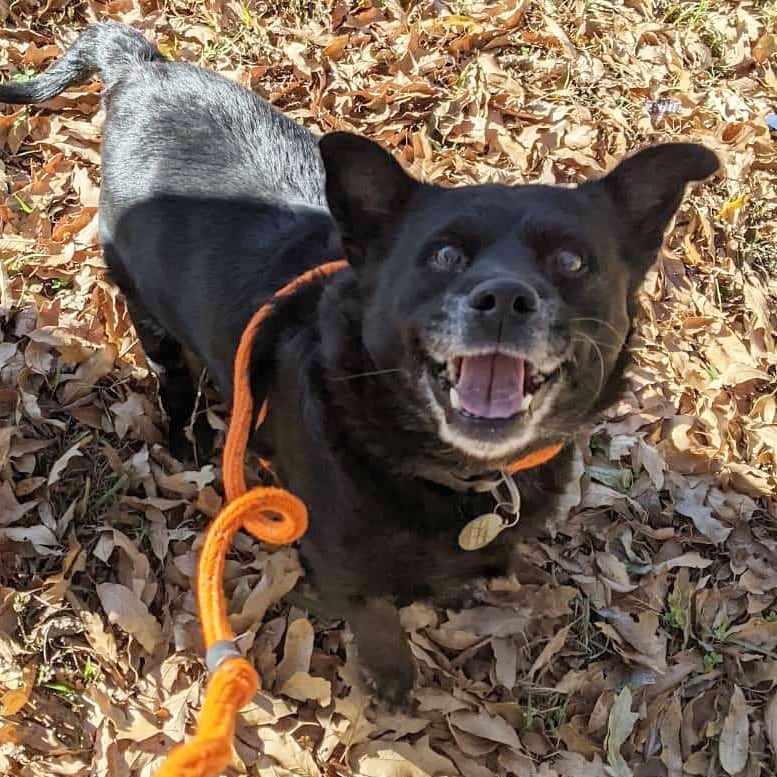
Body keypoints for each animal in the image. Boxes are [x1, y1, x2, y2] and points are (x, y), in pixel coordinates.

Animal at [0, 21, 720, 708]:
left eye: (572, 261)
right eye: (443, 256)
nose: (505, 299)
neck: (452, 471)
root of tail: (141, 66)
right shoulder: (331, 550)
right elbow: (373, 612)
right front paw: (390, 673)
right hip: (147, 311)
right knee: (172, 377)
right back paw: (186, 434)